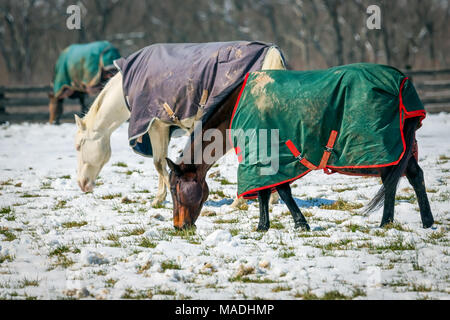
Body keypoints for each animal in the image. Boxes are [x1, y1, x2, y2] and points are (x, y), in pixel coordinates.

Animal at [74, 41, 284, 206]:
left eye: (79, 146)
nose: (82, 184)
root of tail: (270, 53)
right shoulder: (165, 127)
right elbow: (161, 161)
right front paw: (160, 198)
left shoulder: (155, 124)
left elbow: (159, 163)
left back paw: (239, 202)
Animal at [167, 64, 434, 230]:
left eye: (175, 189)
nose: (179, 227)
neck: (239, 106)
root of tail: (403, 83)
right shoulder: (265, 157)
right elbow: (265, 192)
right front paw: (263, 226)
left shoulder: (269, 154)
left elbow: (281, 191)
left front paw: (299, 223)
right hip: (402, 148)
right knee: (414, 177)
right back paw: (427, 222)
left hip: (385, 148)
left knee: (391, 181)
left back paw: (386, 222)